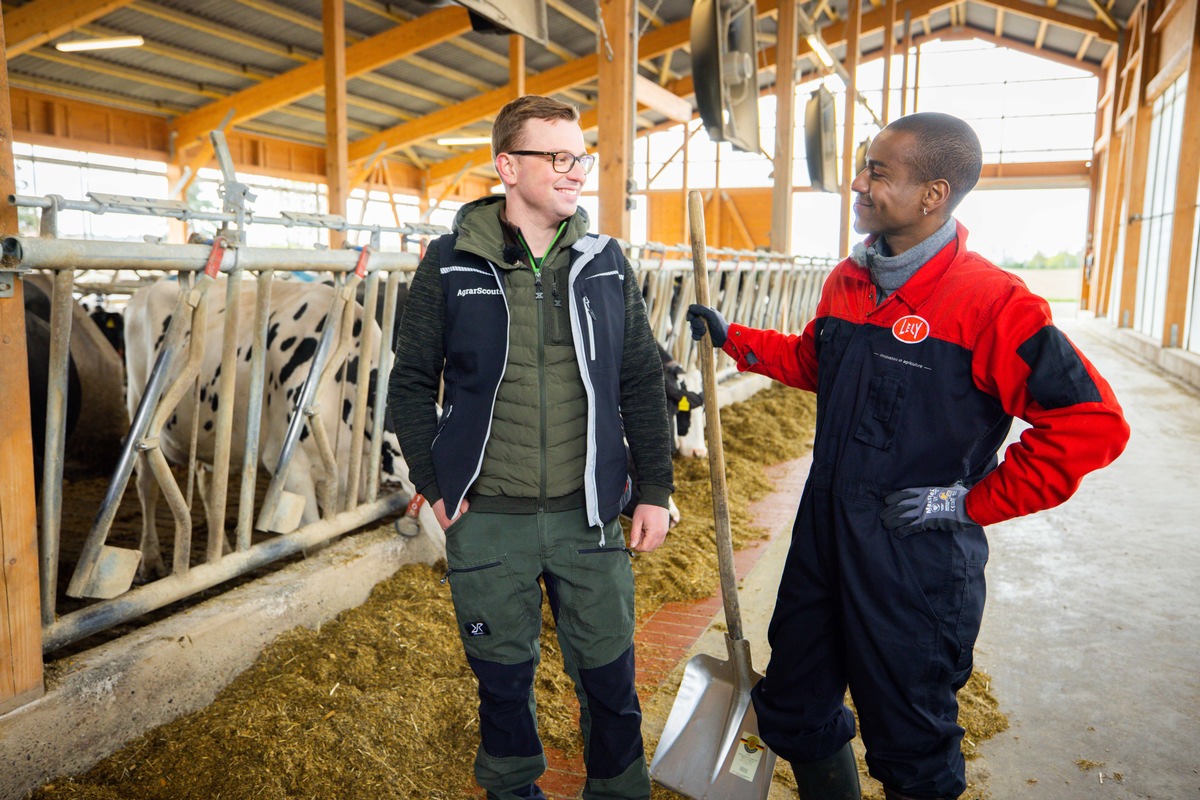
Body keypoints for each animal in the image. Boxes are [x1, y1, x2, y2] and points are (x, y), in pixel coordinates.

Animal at [124, 277, 444, 582]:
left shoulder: (343, 474)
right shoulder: (292, 469)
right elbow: (317, 542)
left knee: (208, 484)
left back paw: (221, 552)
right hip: (139, 410)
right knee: (146, 486)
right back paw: (151, 561)